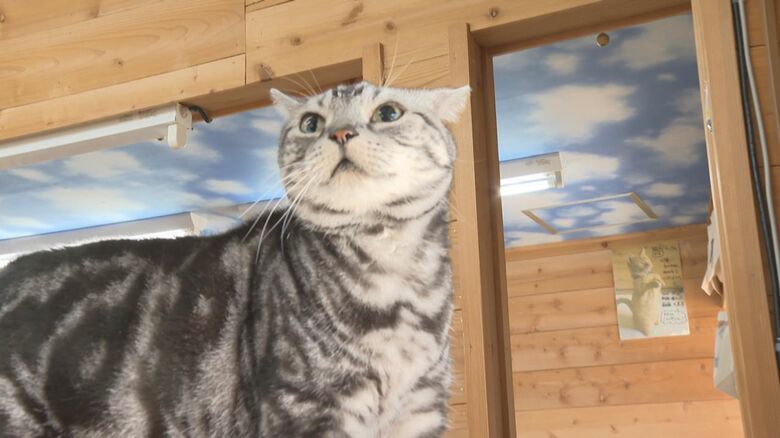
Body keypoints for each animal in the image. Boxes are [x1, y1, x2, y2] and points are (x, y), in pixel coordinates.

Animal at [0, 81, 470, 437]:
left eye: (389, 113)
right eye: (311, 123)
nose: (340, 133)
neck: (394, 273)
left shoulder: (420, 412)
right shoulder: (309, 408)